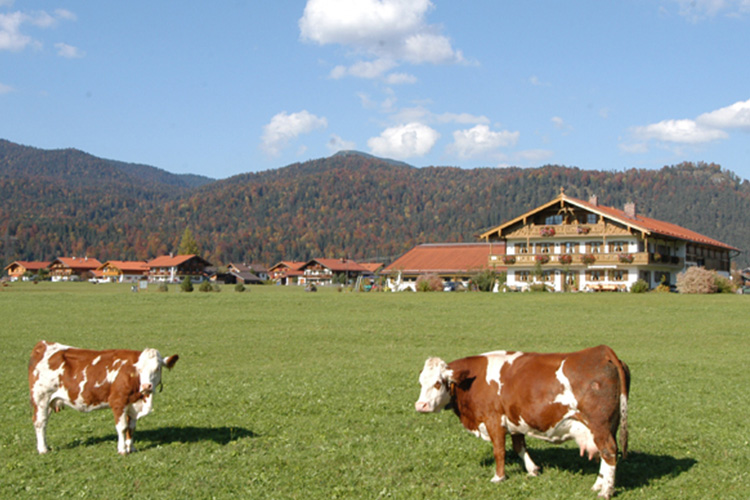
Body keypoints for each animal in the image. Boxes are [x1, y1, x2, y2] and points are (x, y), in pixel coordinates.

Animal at [29, 342, 179, 456]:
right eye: (139, 370)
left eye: (158, 368)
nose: (146, 386)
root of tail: (44, 344)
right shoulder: (118, 402)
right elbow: (122, 427)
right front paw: (122, 450)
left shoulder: (132, 405)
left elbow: (131, 428)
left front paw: (131, 448)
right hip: (41, 398)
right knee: (40, 422)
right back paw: (42, 449)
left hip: (49, 401)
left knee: (44, 423)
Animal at [414, 346, 632, 498]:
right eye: (421, 382)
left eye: (438, 383)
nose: (420, 405)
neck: (472, 382)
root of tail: (601, 351)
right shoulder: (514, 420)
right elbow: (519, 447)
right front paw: (532, 470)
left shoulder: (493, 420)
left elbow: (499, 451)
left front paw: (498, 477)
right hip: (607, 426)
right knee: (606, 453)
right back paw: (598, 485)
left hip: (599, 425)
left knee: (609, 451)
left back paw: (606, 491)